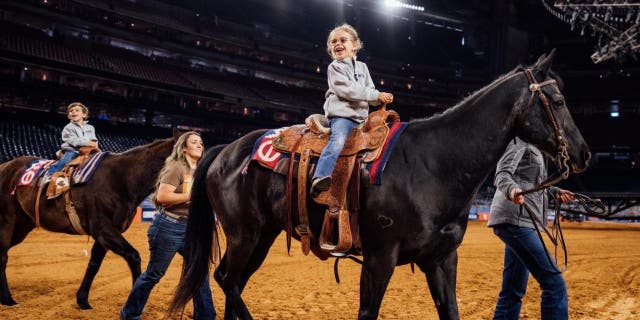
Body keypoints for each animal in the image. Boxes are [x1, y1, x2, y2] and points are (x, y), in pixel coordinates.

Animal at [0, 134, 176, 310]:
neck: (120, 179)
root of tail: (5, 166)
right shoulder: (104, 229)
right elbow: (133, 256)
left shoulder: (105, 236)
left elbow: (94, 264)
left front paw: (82, 299)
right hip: (7, 222)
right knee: (2, 255)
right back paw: (8, 299)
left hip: (22, 226)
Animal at [169, 51, 592, 318]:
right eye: (556, 101)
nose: (585, 153)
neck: (433, 162)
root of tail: (226, 151)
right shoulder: (379, 258)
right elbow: (368, 311)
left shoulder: (442, 259)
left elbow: (450, 311)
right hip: (245, 233)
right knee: (227, 280)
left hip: (263, 235)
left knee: (233, 282)